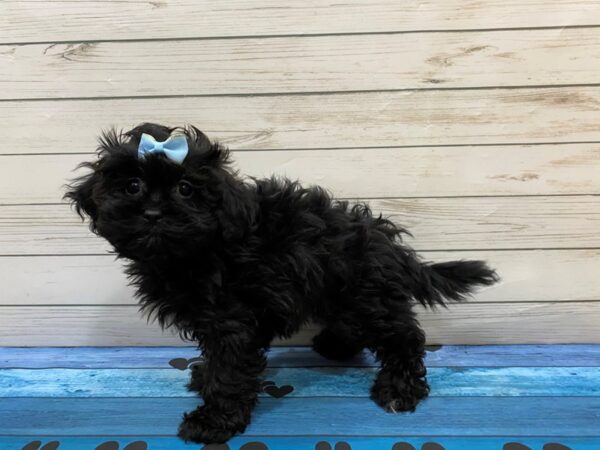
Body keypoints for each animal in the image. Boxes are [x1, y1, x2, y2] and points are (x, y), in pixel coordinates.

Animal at [64, 123, 496, 442]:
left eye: (186, 189)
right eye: (132, 185)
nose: (153, 213)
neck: (194, 252)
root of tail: (386, 242)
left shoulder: (231, 320)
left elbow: (229, 369)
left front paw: (213, 421)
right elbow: (220, 363)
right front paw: (204, 378)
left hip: (366, 295)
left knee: (403, 336)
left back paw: (399, 391)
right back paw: (335, 345)